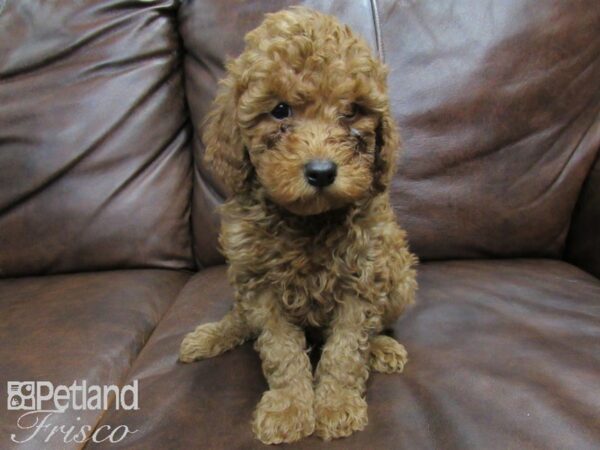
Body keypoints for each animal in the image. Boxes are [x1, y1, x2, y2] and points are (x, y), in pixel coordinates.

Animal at [180, 5, 420, 444]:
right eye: (279, 110)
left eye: (352, 110)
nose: (322, 172)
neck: (308, 221)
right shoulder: (260, 285)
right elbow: (280, 349)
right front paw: (290, 406)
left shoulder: (362, 280)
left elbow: (345, 349)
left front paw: (335, 403)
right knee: (241, 319)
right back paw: (212, 335)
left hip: (400, 276)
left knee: (378, 323)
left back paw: (382, 347)